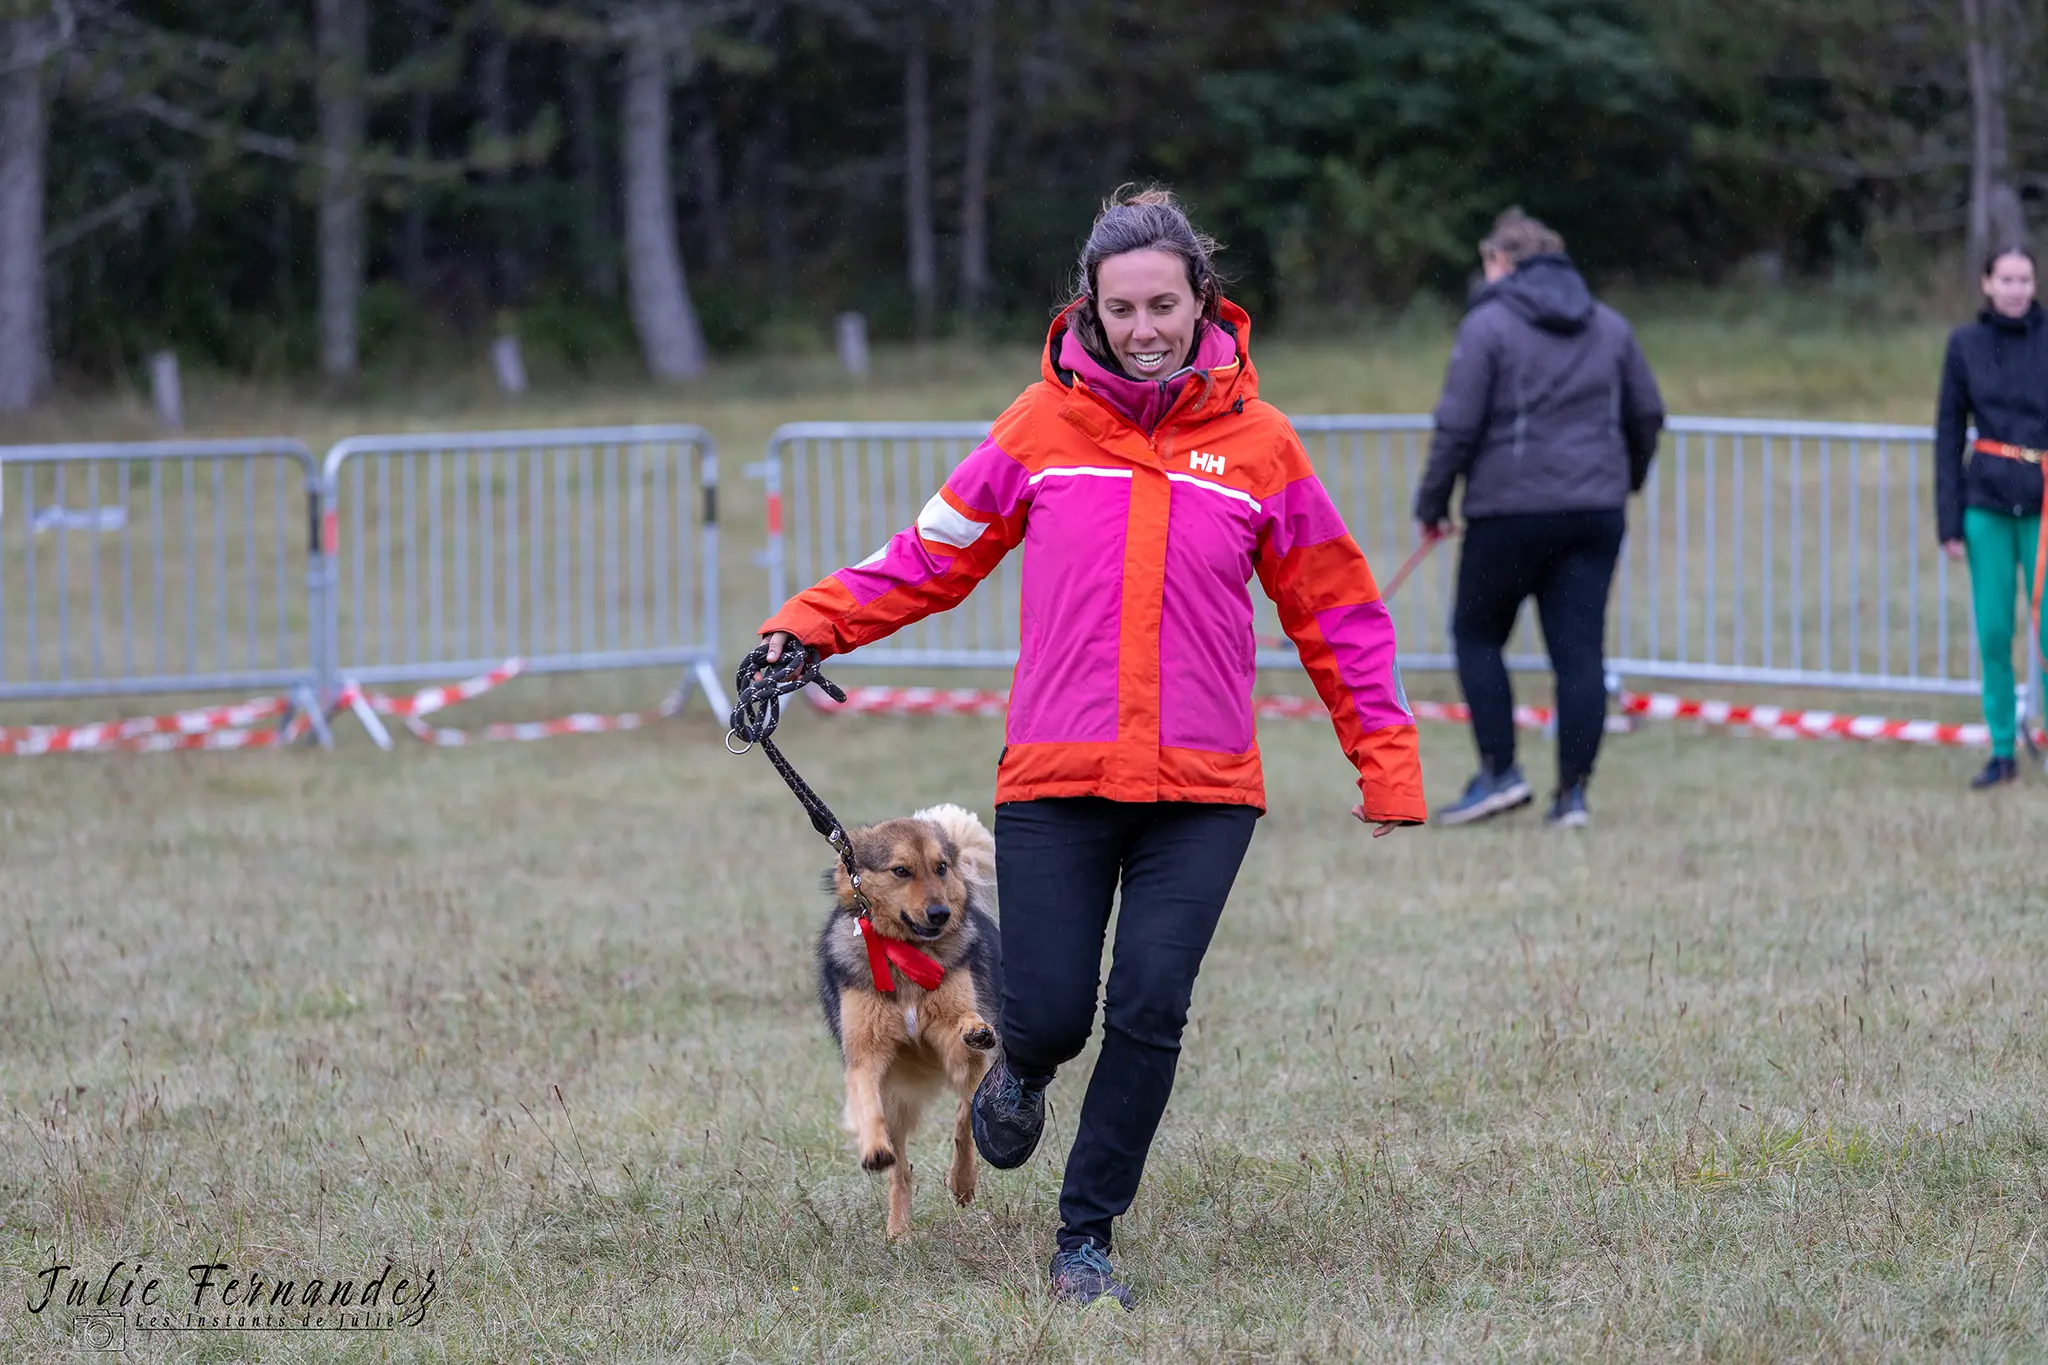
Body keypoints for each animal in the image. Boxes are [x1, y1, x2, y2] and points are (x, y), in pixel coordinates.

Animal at [819, 802, 1003, 1236]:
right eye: (900, 870)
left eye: (941, 867)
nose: (940, 913)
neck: (907, 952)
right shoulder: (865, 1056)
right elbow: (865, 1097)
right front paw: (873, 1149)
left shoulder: (956, 1046)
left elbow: (962, 1030)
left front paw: (974, 1028)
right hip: (898, 1101)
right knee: (901, 1169)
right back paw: (897, 1230)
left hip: (968, 1077)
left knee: (965, 1117)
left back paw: (961, 1182)